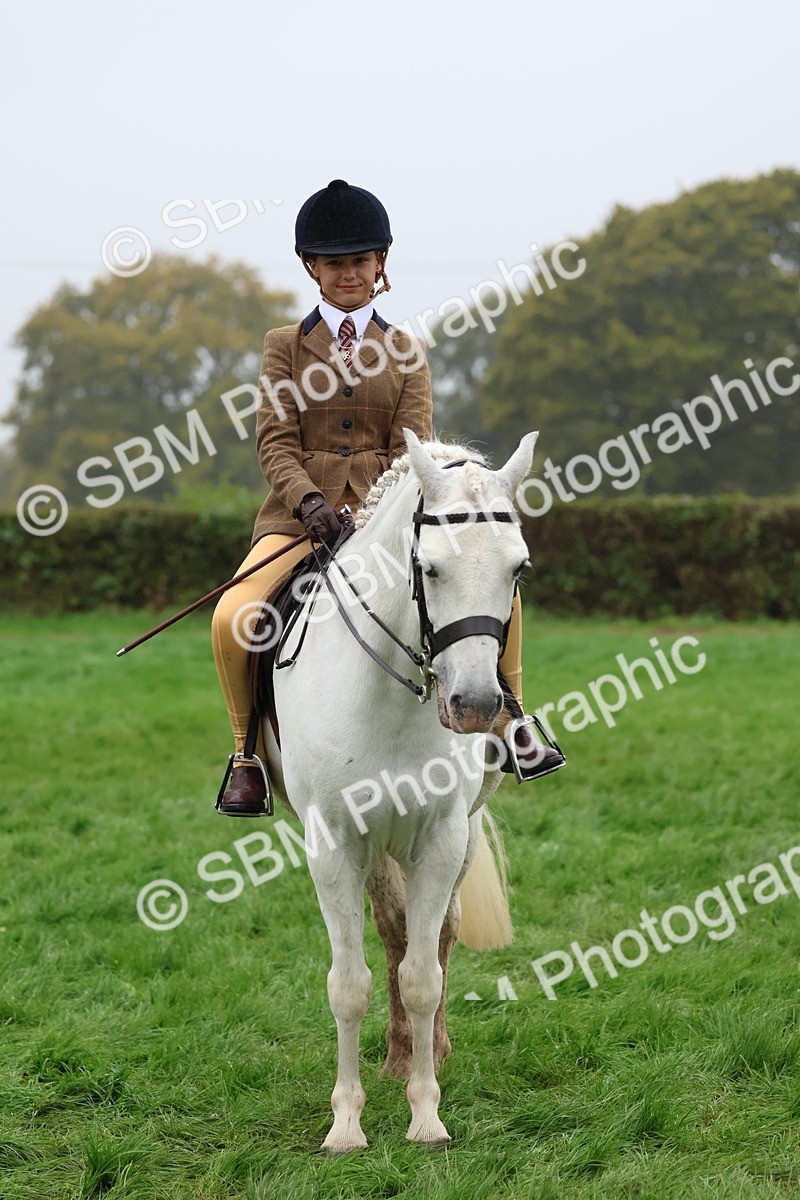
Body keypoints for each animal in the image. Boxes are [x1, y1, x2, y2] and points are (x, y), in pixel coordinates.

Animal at [262, 428, 538, 1151]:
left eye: (518, 570)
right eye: (430, 569)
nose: (475, 706)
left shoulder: (440, 838)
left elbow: (422, 975)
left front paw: (426, 1114)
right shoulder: (334, 845)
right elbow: (349, 983)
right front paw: (346, 1124)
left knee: (435, 937)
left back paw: (427, 1049)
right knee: (390, 931)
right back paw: (393, 1055)